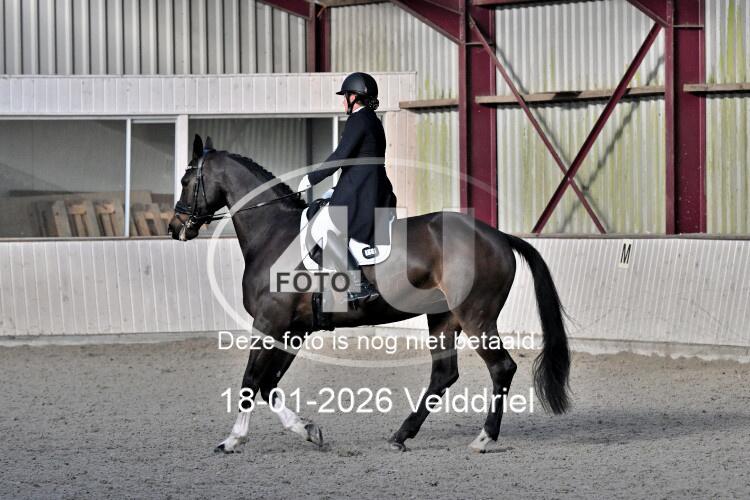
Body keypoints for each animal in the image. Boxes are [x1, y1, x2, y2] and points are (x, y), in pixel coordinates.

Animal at [168, 135, 570, 453]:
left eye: (186, 179)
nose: (175, 228)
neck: (274, 233)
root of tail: (498, 235)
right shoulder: (293, 329)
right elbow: (268, 384)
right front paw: (308, 430)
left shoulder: (270, 322)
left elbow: (251, 381)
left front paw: (232, 439)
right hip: (443, 318)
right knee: (443, 375)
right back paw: (401, 436)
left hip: (476, 316)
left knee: (501, 368)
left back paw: (484, 438)